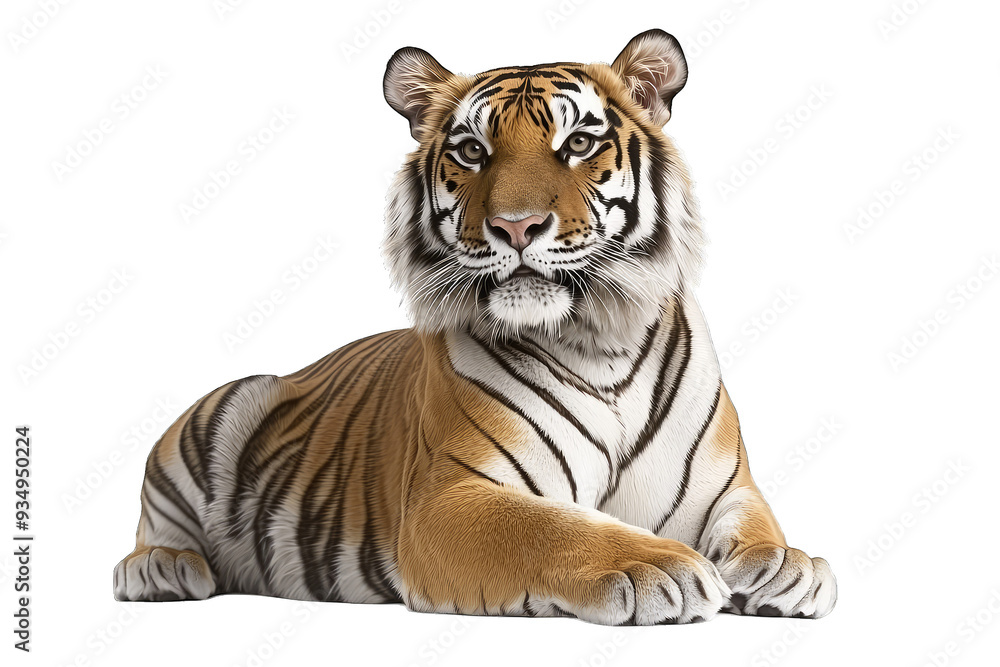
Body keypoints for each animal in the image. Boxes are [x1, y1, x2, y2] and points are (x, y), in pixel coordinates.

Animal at [113, 29, 837, 624]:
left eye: (578, 144)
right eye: (471, 150)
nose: (516, 226)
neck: (601, 340)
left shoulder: (724, 487)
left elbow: (757, 523)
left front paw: (788, 567)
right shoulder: (449, 497)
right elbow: (553, 528)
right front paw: (660, 565)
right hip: (213, 417)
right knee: (155, 528)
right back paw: (164, 569)